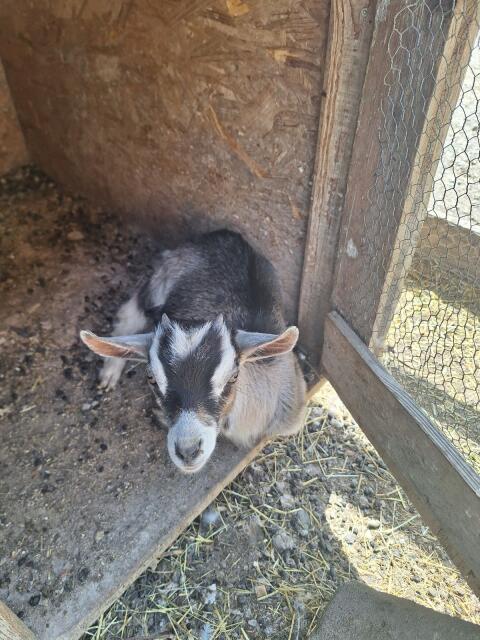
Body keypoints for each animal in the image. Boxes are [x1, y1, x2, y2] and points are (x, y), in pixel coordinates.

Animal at [80, 230, 307, 473]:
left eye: (233, 376)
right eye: (151, 378)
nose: (188, 450)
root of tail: (223, 235)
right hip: (162, 278)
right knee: (131, 312)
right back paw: (109, 373)